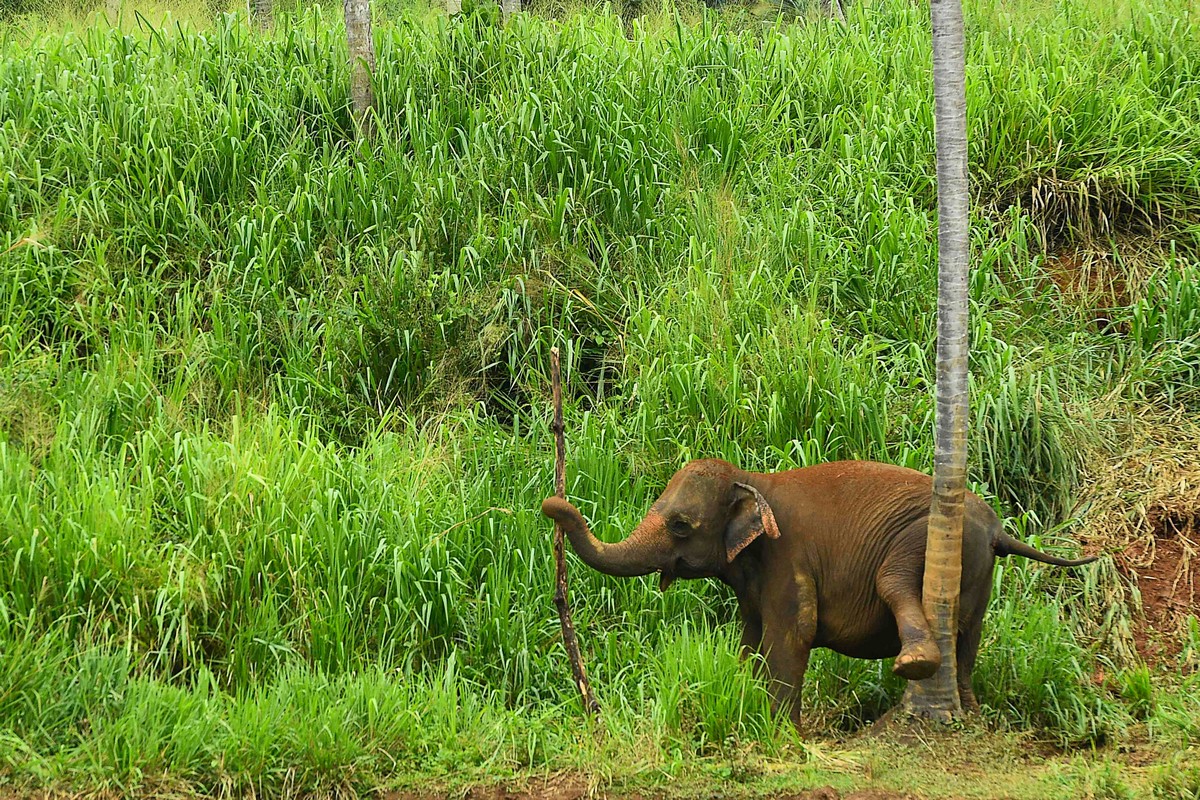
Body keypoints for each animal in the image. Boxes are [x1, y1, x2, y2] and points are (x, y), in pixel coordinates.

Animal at [542, 455, 1099, 724]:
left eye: (680, 526)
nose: (551, 504)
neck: (751, 478)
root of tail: (1000, 530)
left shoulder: (788, 559)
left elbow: (792, 634)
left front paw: (783, 736)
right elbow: (752, 637)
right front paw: (745, 700)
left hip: (927, 538)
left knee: (895, 583)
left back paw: (915, 664)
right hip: (978, 570)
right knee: (969, 638)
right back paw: (971, 712)